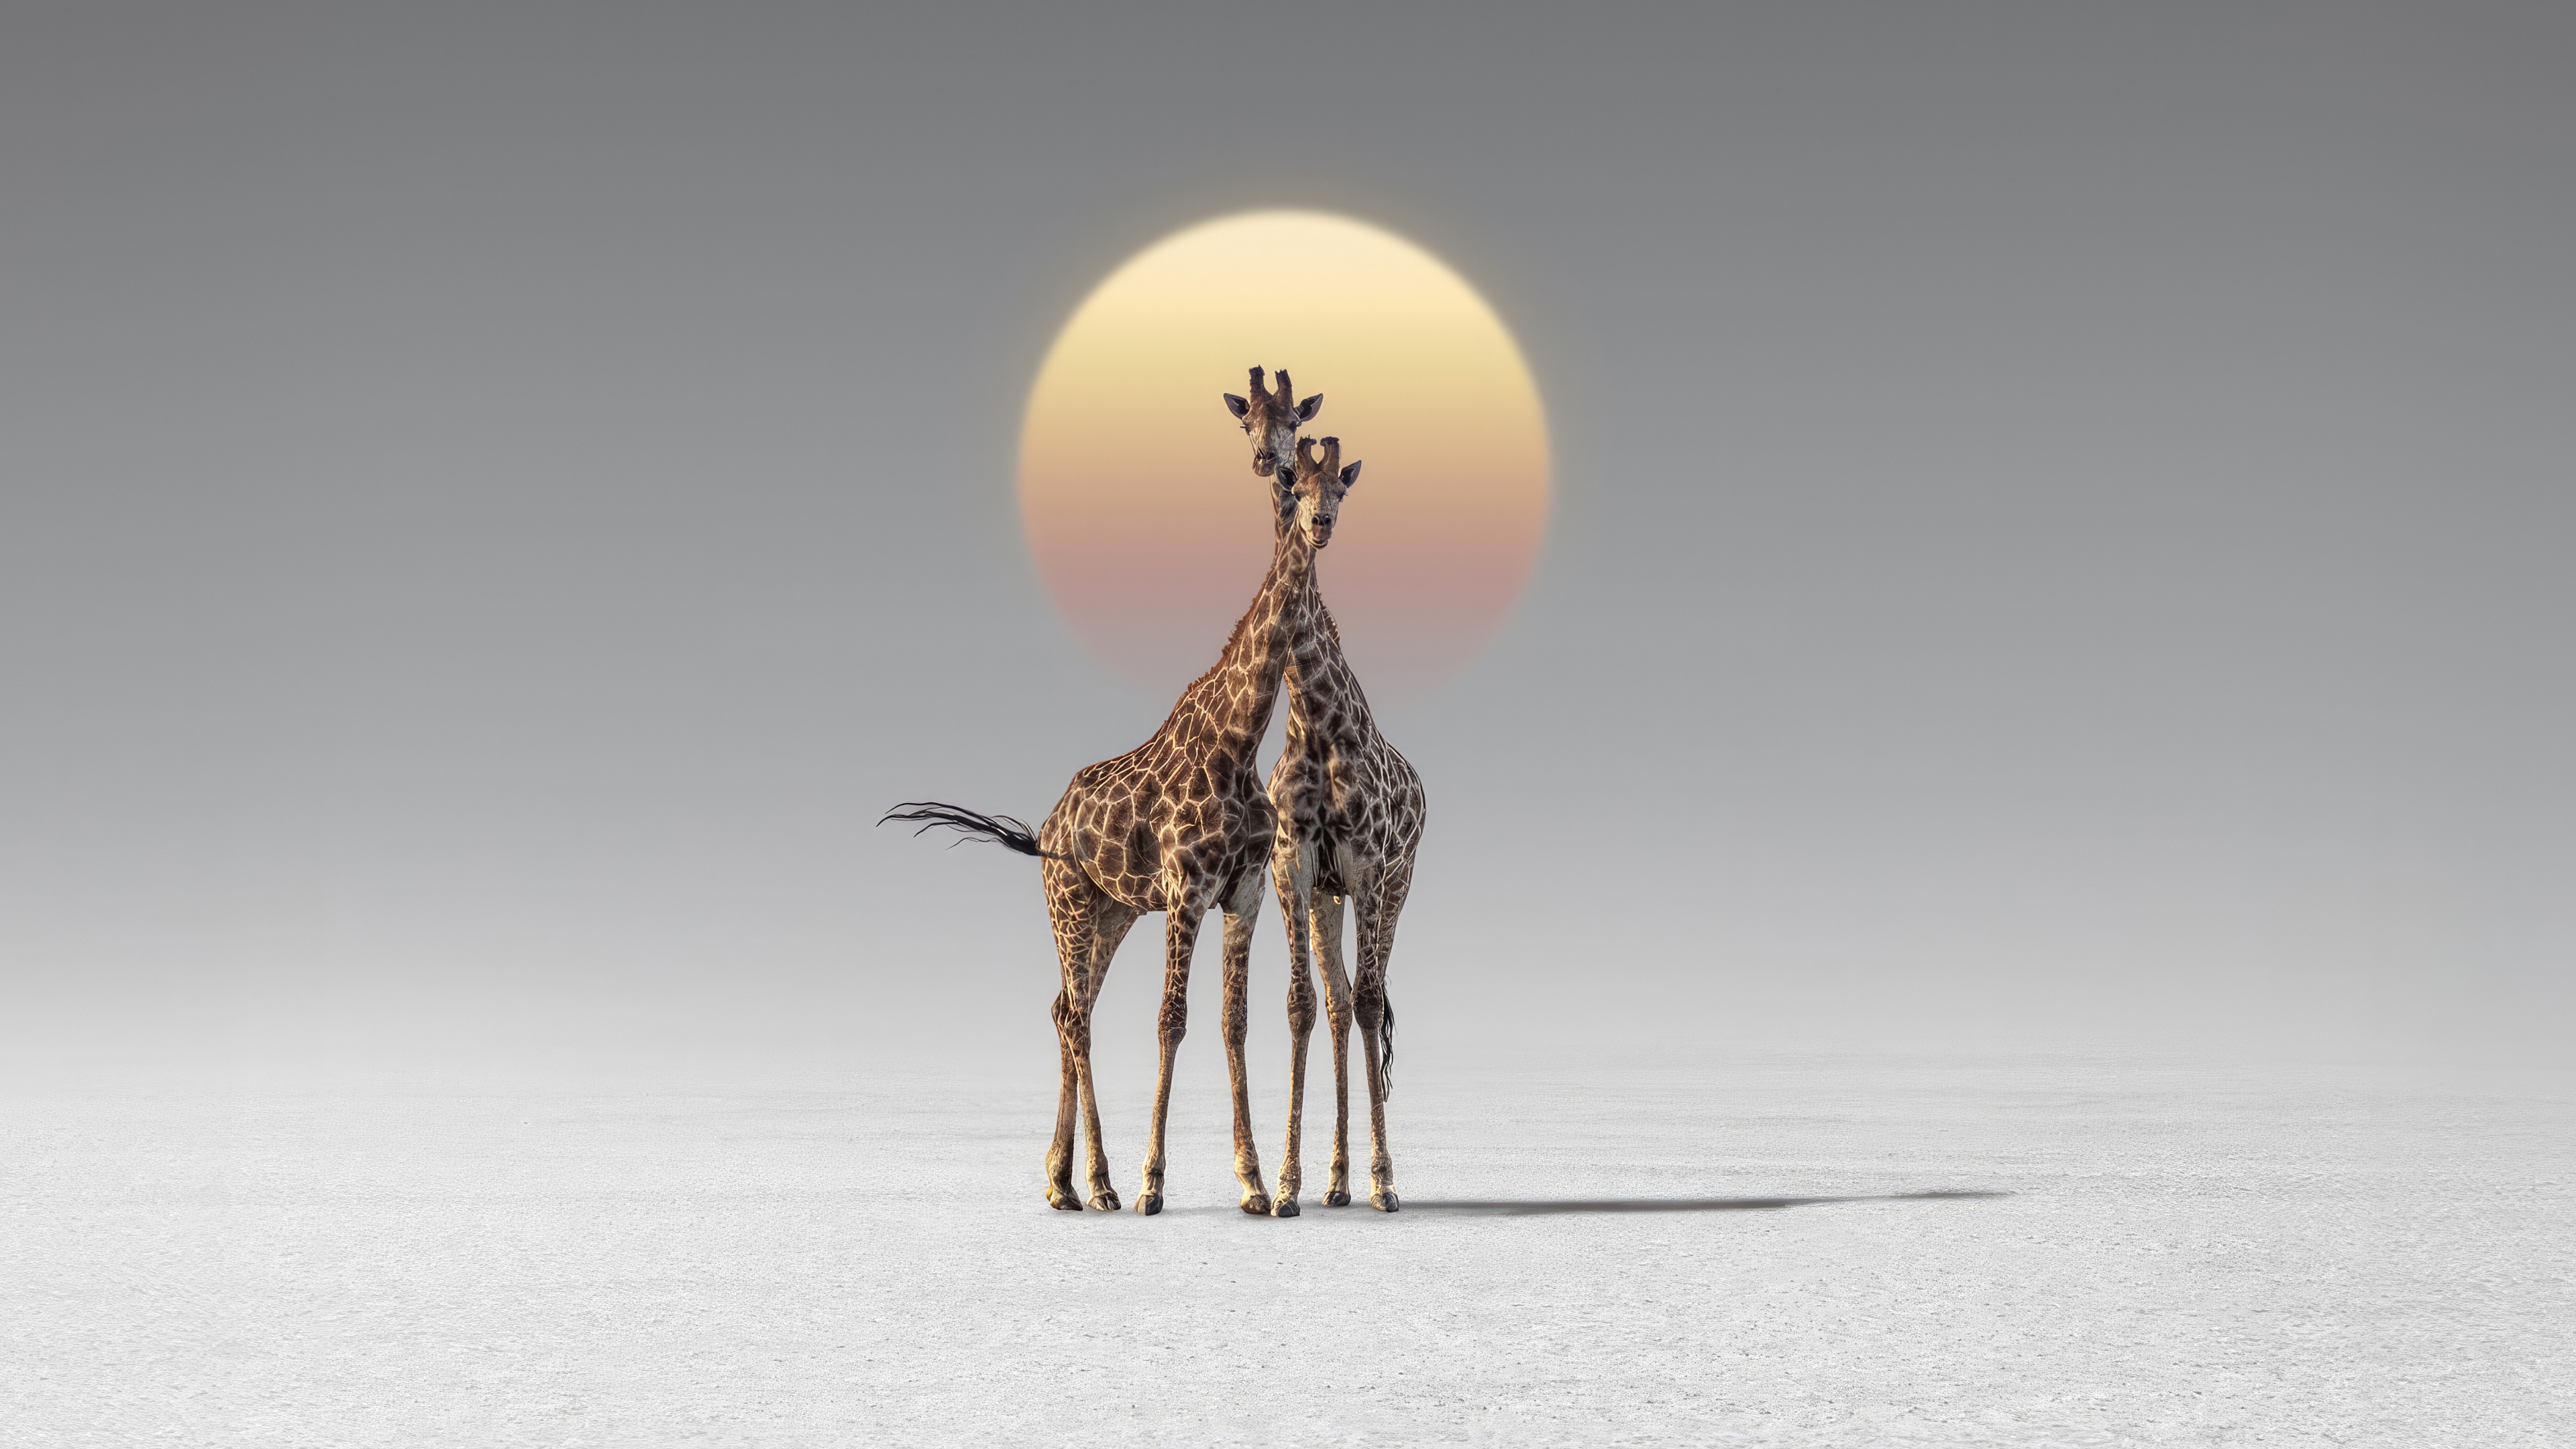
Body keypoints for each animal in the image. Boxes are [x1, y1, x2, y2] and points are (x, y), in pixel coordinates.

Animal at [882, 432, 1347, 1217]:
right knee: (1075, 1016)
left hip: (1112, 913)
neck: (1240, 740)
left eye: (1337, 487)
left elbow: (1232, 1020)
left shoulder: (1244, 892)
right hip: (1069, 903)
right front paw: (1153, 1184)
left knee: (1066, 1009)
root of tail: (1044, 831)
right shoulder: (1187, 890)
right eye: (1292, 478)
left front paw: (1254, 1184)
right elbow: (1171, 1018)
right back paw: (1099, 1183)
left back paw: (1062, 1181)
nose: (1318, 525)